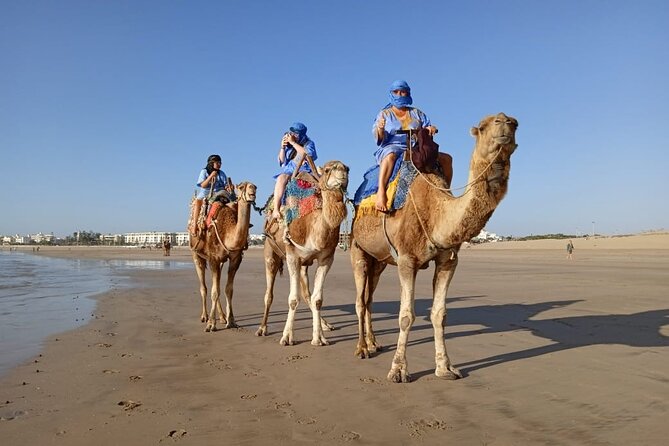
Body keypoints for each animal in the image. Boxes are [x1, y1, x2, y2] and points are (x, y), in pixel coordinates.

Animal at [192, 180, 260, 332]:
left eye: (255, 186)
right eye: (241, 187)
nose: (252, 192)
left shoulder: (235, 259)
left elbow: (228, 290)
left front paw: (231, 321)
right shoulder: (213, 259)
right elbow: (214, 291)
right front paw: (211, 324)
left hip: (220, 262)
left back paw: (222, 317)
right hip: (196, 254)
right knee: (204, 287)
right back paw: (204, 316)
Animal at [258, 160, 350, 344]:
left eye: (347, 168)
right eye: (327, 170)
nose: (343, 173)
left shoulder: (326, 258)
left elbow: (317, 299)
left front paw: (319, 338)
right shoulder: (292, 255)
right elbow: (293, 299)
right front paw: (287, 337)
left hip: (304, 265)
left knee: (308, 294)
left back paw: (325, 325)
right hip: (270, 252)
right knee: (269, 293)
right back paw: (262, 328)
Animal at [352, 113, 520, 382]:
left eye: (515, 124)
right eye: (483, 127)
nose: (507, 122)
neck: (436, 212)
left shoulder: (448, 260)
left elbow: (439, 314)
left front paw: (445, 368)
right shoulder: (406, 260)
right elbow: (406, 316)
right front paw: (398, 370)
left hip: (379, 260)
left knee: (369, 299)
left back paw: (374, 343)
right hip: (357, 248)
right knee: (359, 300)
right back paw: (362, 349)